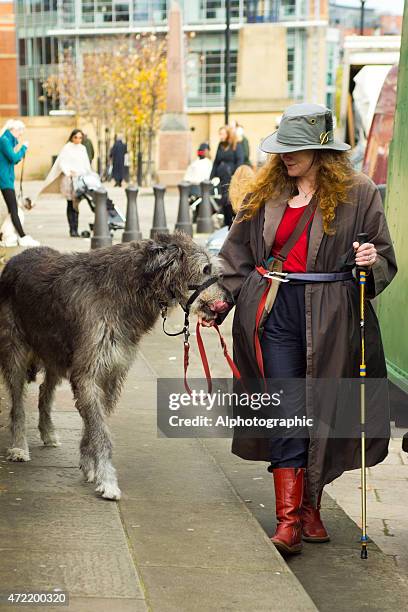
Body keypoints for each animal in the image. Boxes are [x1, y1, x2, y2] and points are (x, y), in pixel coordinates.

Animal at [0, 232, 230, 500]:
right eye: (205, 269)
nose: (230, 301)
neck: (129, 287)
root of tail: (16, 258)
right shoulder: (88, 372)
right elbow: (101, 432)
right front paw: (108, 480)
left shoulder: (112, 373)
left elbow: (93, 426)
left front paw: (89, 465)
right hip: (15, 351)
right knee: (17, 404)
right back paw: (18, 447)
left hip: (55, 353)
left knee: (45, 393)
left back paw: (48, 432)